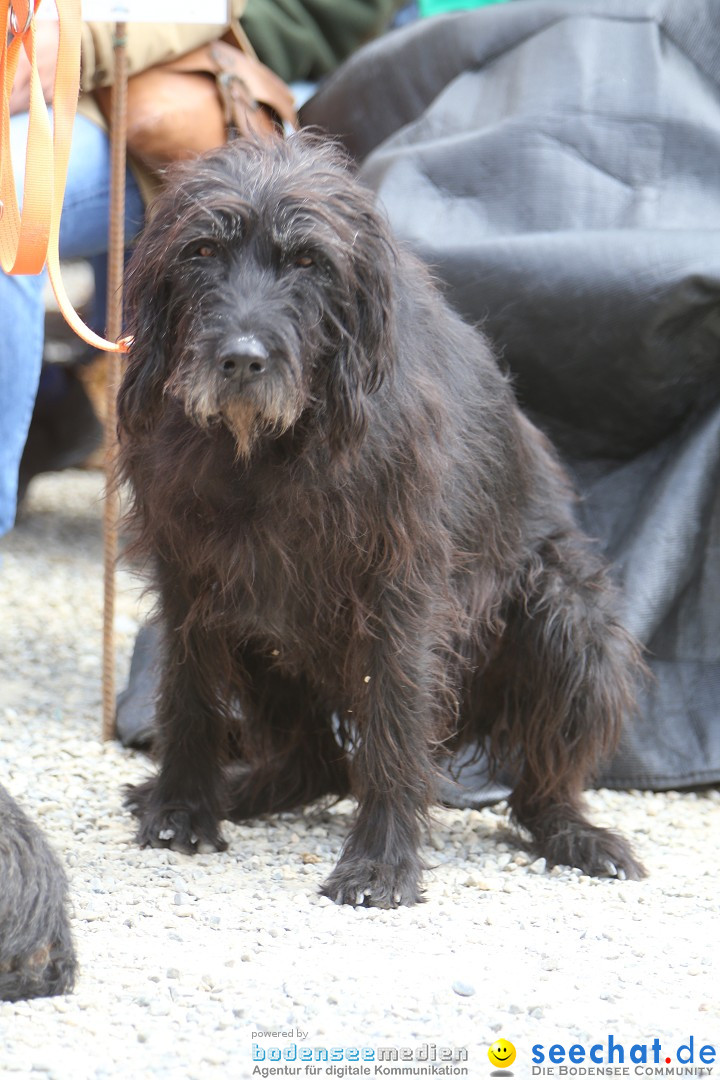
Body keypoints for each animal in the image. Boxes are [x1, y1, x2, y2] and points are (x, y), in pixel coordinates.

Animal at [119, 135, 647, 907]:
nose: (241, 359)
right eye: (203, 251)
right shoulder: (188, 576)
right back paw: (236, 792)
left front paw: (381, 860)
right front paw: (181, 807)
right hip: (254, 626)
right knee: (316, 762)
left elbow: (395, 716)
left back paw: (577, 834)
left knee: (535, 787)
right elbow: (186, 693)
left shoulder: (400, 588)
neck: (270, 448)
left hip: (567, 614)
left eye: (309, 261)